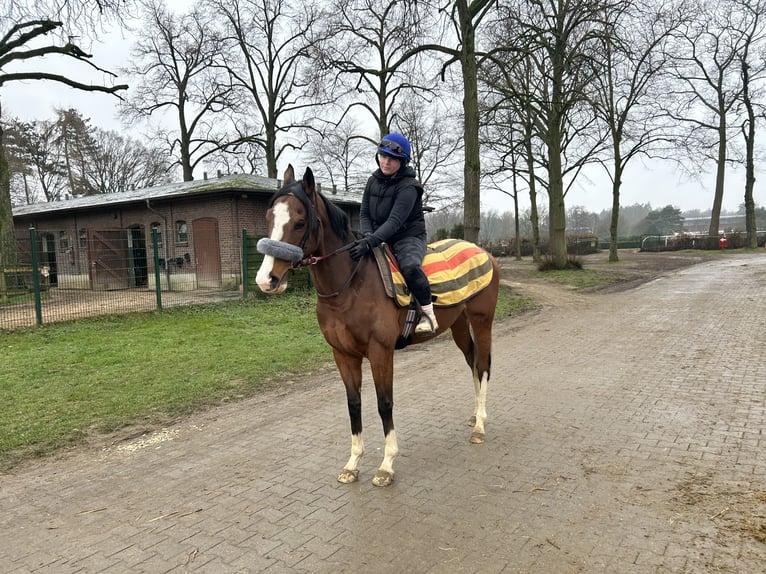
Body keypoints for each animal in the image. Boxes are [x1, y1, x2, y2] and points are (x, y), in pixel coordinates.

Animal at [255, 164, 500, 488]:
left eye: (299, 222)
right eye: (269, 217)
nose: (266, 279)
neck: (351, 285)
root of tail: (486, 253)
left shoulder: (380, 352)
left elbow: (385, 403)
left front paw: (386, 465)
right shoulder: (343, 355)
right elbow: (354, 404)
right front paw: (352, 463)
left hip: (482, 321)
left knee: (483, 366)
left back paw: (480, 426)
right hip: (459, 325)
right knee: (472, 363)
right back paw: (474, 416)